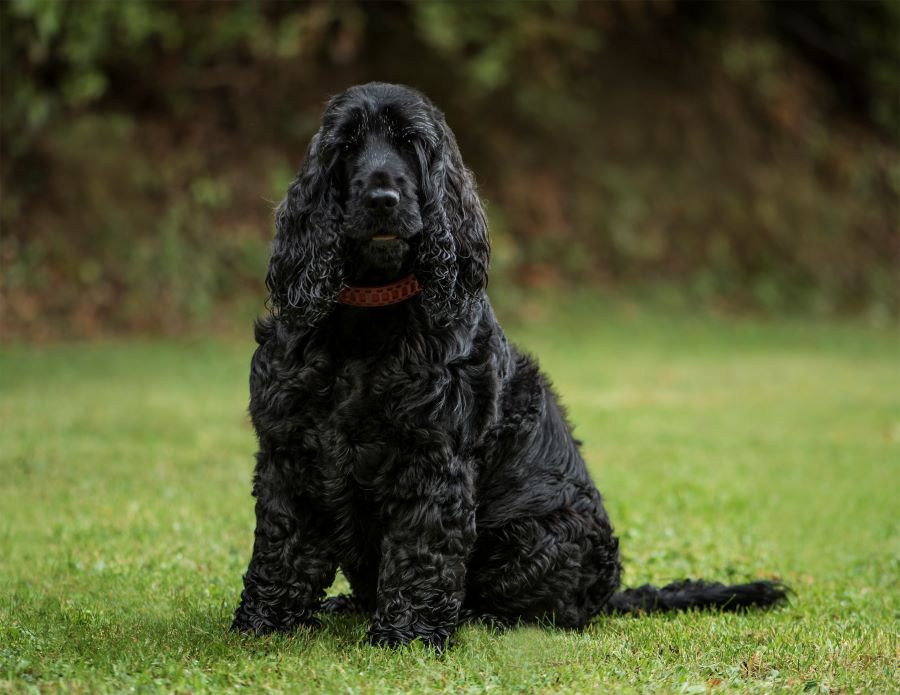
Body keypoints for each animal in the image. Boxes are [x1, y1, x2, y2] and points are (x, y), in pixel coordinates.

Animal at [234, 84, 788, 648]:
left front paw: (406, 636)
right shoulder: (289, 451)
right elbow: (282, 547)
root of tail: (611, 593)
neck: (369, 317)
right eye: (347, 147)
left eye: (411, 144)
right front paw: (264, 624)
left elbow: (420, 552)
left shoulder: (433, 460)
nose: (382, 199)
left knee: (548, 611)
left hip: (538, 534)